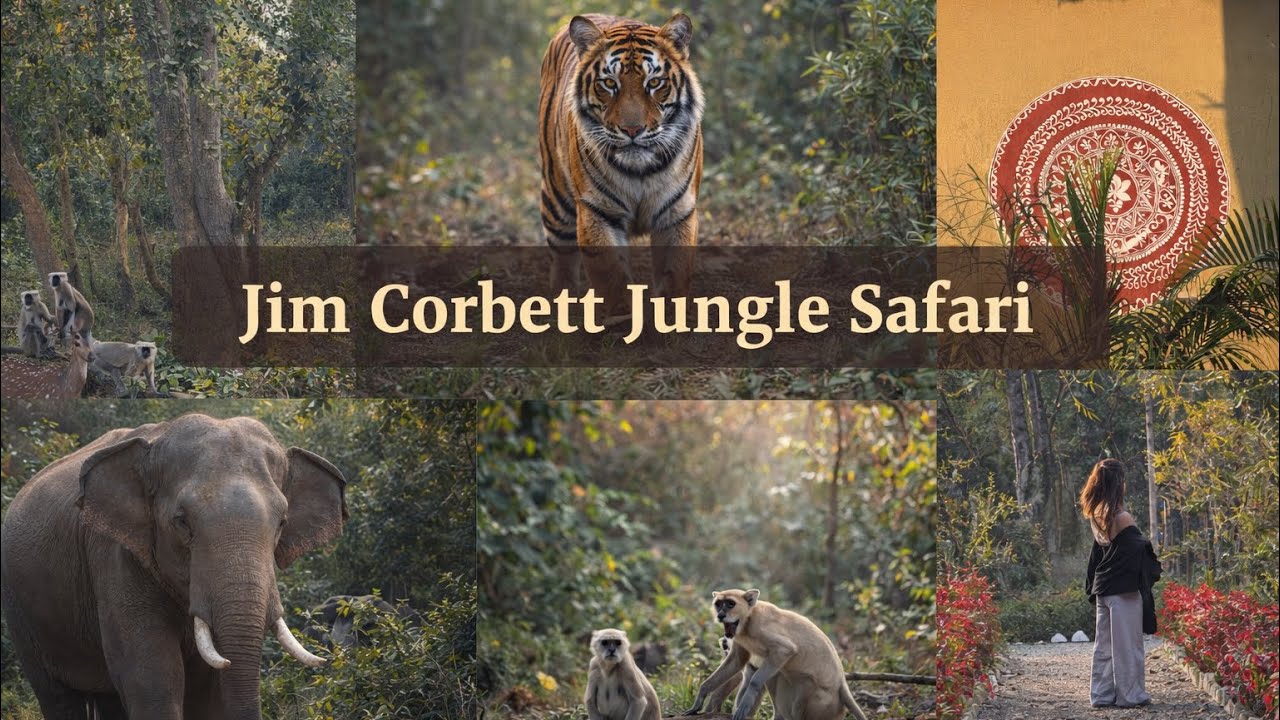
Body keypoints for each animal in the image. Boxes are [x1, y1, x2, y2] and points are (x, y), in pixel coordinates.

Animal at [0, 413, 348, 720]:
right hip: (21, 614)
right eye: (182, 522)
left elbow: (206, 694)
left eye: (282, 523)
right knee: (57, 696)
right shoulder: (115, 555)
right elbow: (151, 676)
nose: (327, 659)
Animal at [538, 13, 704, 314]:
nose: (632, 129)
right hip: (556, 199)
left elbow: (674, 274)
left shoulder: (677, 213)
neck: (642, 170)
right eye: (609, 84)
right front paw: (623, 316)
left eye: (654, 83)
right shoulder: (597, 211)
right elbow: (611, 274)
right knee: (563, 259)